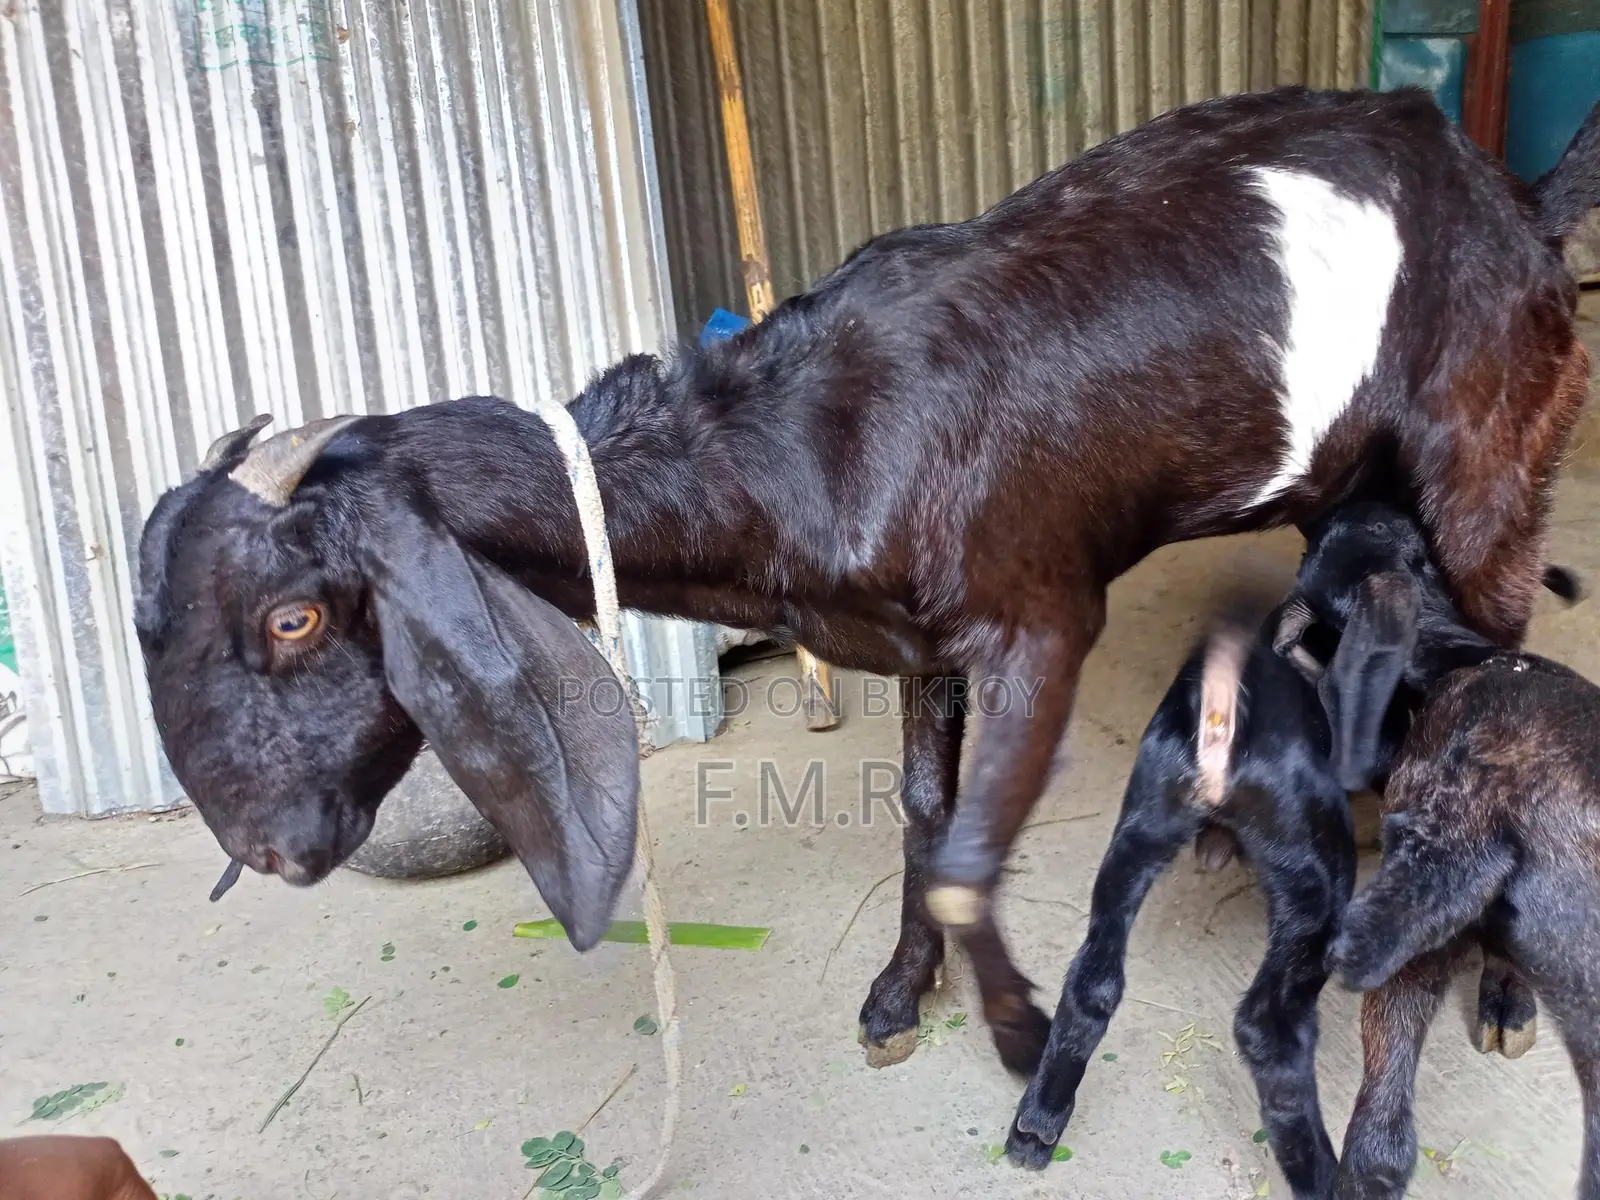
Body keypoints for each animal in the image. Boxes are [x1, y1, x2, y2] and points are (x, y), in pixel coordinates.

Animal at [135, 85, 1600, 1077]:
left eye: (292, 616)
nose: (265, 847)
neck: (805, 444)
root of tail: (1518, 204)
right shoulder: (912, 639)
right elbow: (921, 813)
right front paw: (903, 994)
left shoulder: (1043, 618)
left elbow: (968, 847)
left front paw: (1014, 1032)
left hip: (1493, 465)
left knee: (1497, 659)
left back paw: (1500, 992)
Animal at [1005, 502, 1579, 1195]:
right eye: (1420, 548)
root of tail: (1223, 725)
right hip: (1315, 880)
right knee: (1267, 1026)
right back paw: (1318, 1172)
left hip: (1137, 833)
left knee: (1093, 980)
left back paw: (1037, 1122)